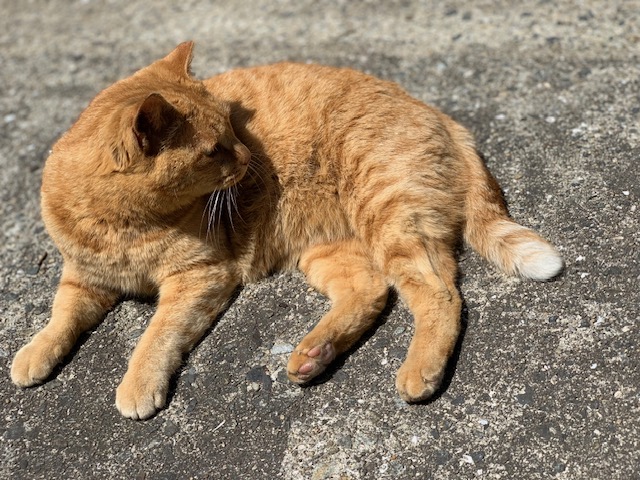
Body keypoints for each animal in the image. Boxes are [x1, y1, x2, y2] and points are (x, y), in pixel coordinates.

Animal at [8, 44, 560, 420]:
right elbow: (61, 316)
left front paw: (138, 383)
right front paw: (34, 353)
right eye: (215, 149)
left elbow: (156, 335)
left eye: (232, 127)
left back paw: (417, 370)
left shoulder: (200, 277)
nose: (249, 158)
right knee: (374, 289)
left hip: (388, 214)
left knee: (439, 293)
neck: (121, 225)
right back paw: (315, 354)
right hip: (331, 249)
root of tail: (441, 115)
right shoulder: (83, 277)